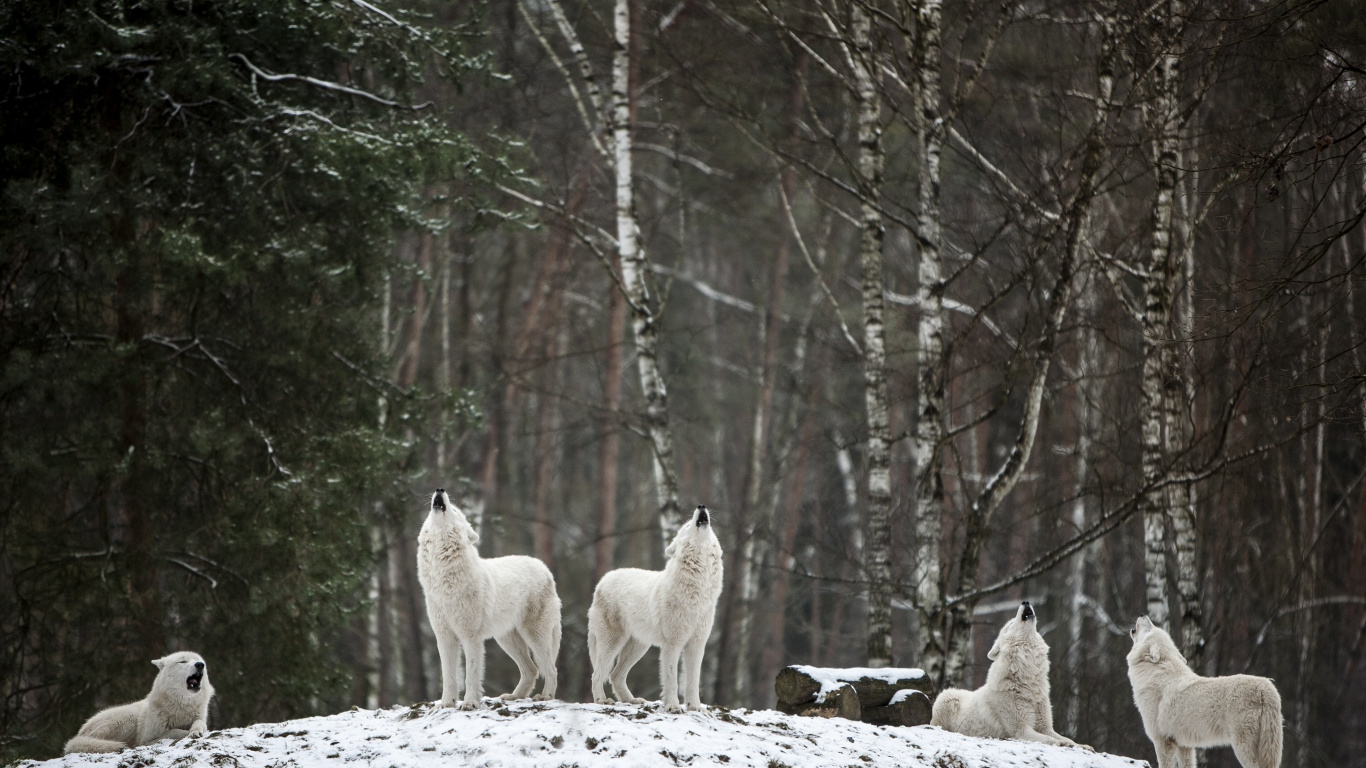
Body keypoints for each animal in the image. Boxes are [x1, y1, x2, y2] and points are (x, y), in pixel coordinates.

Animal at [64, 651, 214, 754]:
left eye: (199, 661)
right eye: (182, 661)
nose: (200, 665)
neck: (181, 706)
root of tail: (79, 734)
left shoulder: (199, 717)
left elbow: (200, 723)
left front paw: (196, 731)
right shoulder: (146, 740)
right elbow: (173, 731)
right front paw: (185, 732)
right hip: (128, 719)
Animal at [417, 488, 561, 709]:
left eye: (456, 511)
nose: (440, 490)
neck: (444, 580)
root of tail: (544, 569)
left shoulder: (471, 637)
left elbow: (471, 673)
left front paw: (469, 703)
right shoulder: (444, 637)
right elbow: (448, 675)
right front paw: (447, 703)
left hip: (534, 635)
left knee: (550, 669)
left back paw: (545, 697)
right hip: (507, 640)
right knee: (532, 670)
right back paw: (514, 696)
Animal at [588, 505, 724, 713]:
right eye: (686, 526)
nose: (701, 506)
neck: (698, 591)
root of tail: (602, 581)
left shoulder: (697, 645)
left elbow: (693, 681)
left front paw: (695, 707)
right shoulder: (672, 644)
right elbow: (672, 679)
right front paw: (673, 706)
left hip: (638, 647)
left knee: (615, 675)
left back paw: (631, 700)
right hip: (613, 643)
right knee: (597, 674)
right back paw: (602, 701)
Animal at [931, 602, 1089, 749]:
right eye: (1011, 624)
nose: (1025, 602)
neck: (1028, 680)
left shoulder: (1045, 727)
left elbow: (1064, 737)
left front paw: (1082, 745)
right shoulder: (1022, 730)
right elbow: (1051, 739)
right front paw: (1063, 743)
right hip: (946, 696)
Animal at [1127, 616, 1282, 768]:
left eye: (1150, 629)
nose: (1143, 615)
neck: (1156, 673)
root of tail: (1266, 688)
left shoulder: (1162, 741)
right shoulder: (1184, 745)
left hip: (1242, 747)